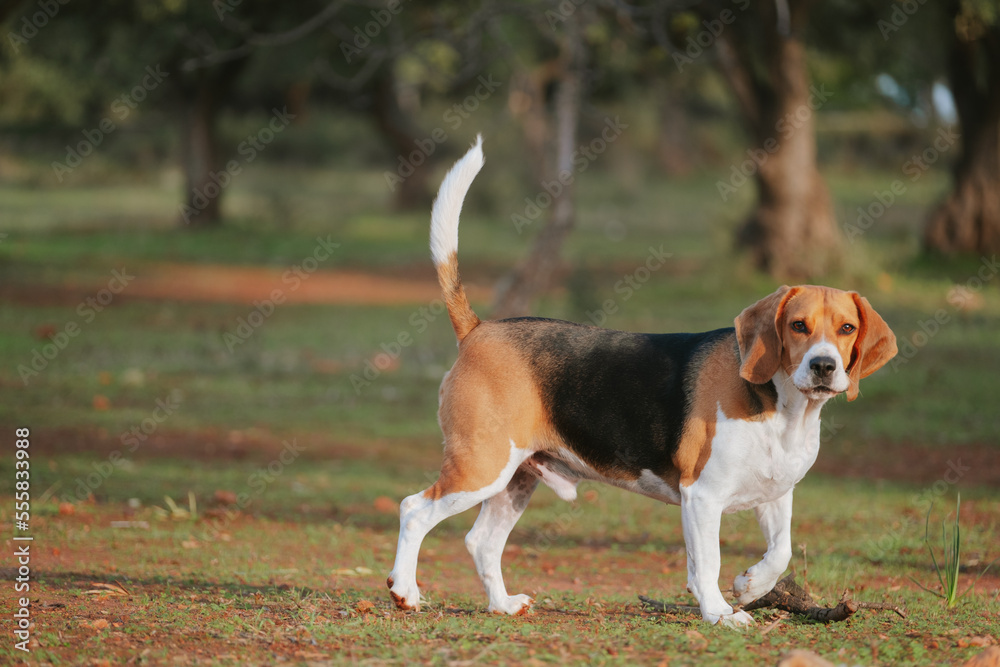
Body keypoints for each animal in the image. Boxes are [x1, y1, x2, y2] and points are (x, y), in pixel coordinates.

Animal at [384, 136, 900, 628]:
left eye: (847, 329)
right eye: (798, 326)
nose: (824, 366)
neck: (784, 405)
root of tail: (478, 329)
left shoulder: (776, 494)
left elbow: (782, 551)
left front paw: (751, 584)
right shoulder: (702, 496)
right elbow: (706, 564)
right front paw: (719, 613)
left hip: (515, 478)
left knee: (481, 541)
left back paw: (502, 605)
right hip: (481, 466)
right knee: (413, 508)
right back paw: (405, 591)